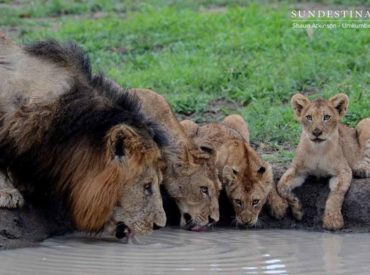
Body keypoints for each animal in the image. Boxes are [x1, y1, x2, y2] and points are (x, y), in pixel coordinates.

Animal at [278, 92, 370, 231]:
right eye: (309, 117)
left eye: (326, 117)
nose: (317, 132)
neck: (318, 150)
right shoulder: (297, 169)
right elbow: (281, 187)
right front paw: (297, 209)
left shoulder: (343, 170)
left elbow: (336, 195)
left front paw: (332, 220)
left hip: (364, 121)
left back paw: (362, 169)